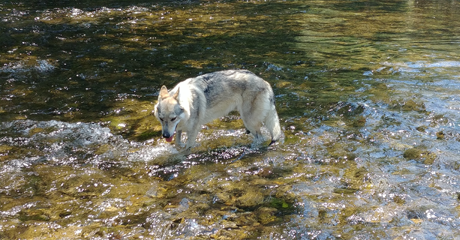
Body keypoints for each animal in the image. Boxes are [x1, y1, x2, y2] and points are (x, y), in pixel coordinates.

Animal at [155, 68, 284, 149]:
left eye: (173, 119)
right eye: (161, 119)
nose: (165, 136)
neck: (190, 103)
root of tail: (266, 83)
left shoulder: (193, 131)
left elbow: (187, 148)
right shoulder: (179, 129)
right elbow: (177, 143)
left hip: (250, 122)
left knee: (261, 138)